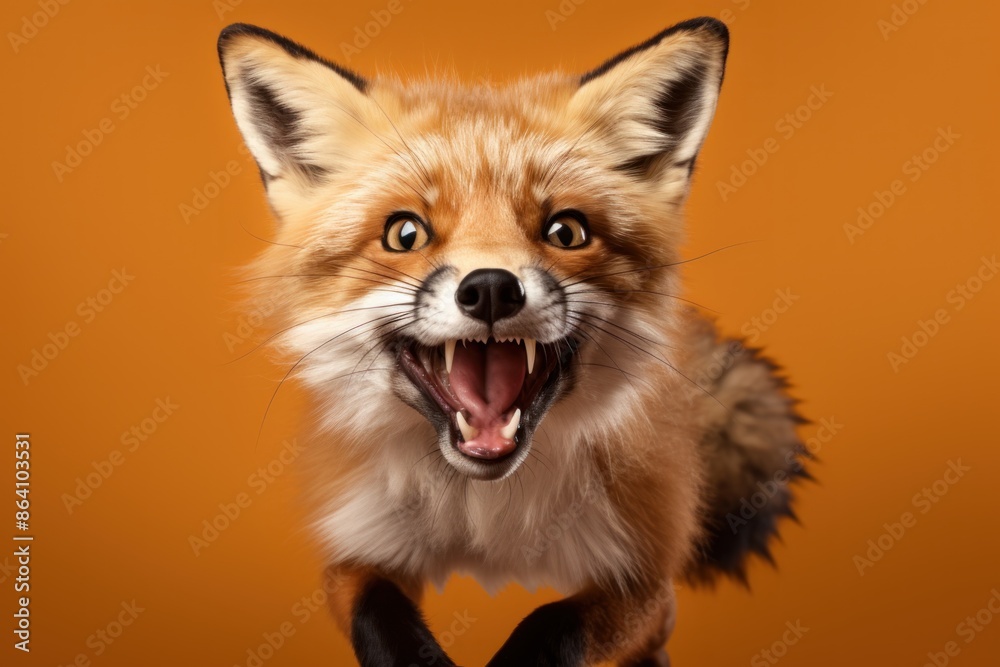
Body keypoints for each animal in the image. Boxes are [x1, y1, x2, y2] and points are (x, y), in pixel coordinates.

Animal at [217, 16, 807, 667]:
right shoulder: (354, 547)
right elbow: (380, 613)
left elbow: (553, 624)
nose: (492, 290)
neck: (484, 517)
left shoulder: (648, 582)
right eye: (404, 233)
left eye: (566, 231)